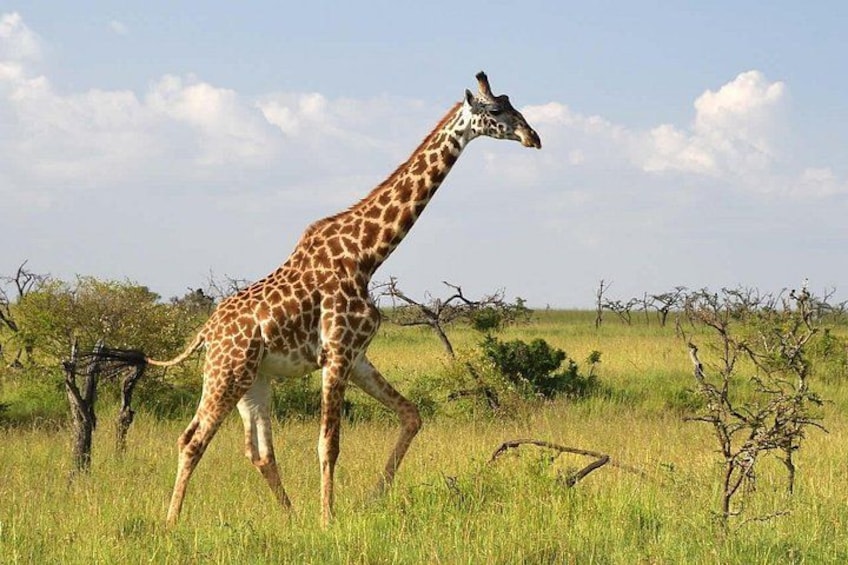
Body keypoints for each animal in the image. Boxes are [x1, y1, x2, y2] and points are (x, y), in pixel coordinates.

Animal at [146, 71, 541, 527]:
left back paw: (290, 516)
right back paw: (171, 521)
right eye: (495, 110)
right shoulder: (336, 352)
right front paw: (328, 520)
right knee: (192, 438)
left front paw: (373, 498)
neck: (367, 254)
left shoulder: (357, 355)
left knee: (259, 451)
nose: (533, 137)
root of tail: (207, 330)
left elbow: (411, 415)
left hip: (254, 379)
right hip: (226, 371)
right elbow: (328, 443)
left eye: (513, 103)